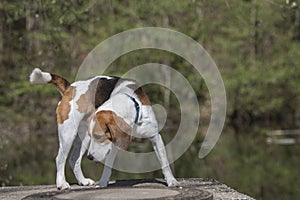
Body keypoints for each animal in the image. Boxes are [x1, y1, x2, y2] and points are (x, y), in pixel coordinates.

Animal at [29, 68, 178, 190]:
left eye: (99, 137)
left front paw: (171, 181)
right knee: (60, 158)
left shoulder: (155, 137)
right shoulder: (112, 143)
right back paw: (62, 183)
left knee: (73, 159)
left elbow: (165, 162)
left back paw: (82, 181)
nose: (90, 157)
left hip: (83, 137)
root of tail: (70, 87)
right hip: (68, 133)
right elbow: (108, 166)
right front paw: (102, 183)